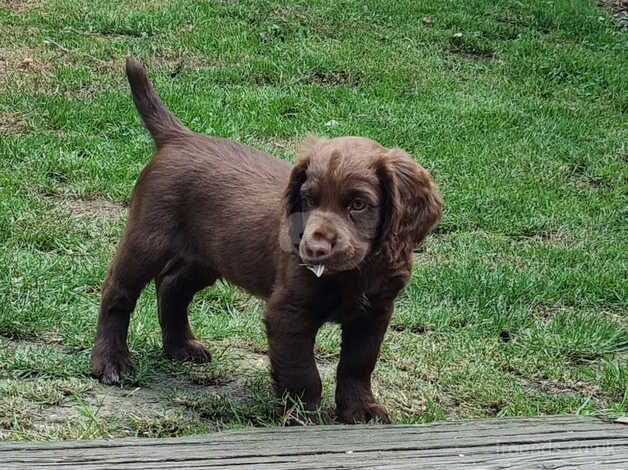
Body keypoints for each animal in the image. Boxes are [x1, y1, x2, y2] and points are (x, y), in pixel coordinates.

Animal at [92, 57, 442, 424]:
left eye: (358, 204)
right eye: (309, 199)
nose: (314, 249)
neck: (358, 269)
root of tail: (179, 137)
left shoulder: (375, 311)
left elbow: (358, 365)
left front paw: (359, 409)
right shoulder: (289, 312)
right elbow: (303, 373)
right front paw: (302, 417)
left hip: (210, 254)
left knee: (172, 285)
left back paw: (180, 347)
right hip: (148, 238)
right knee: (118, 291)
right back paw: (111, 362)